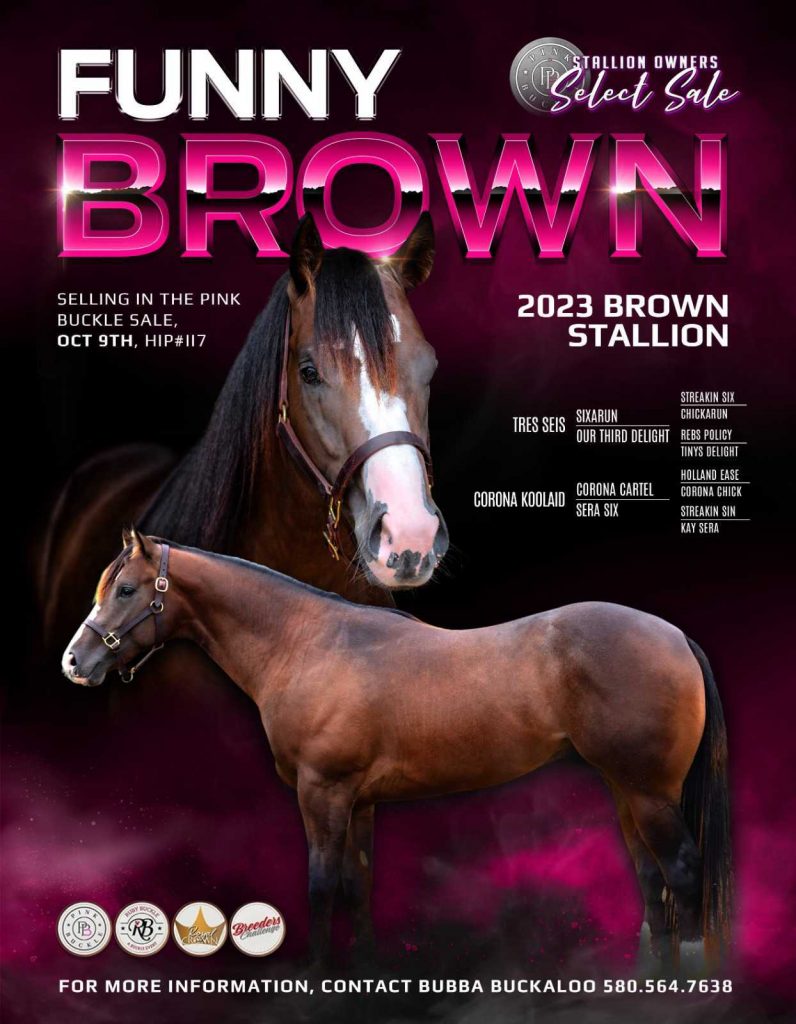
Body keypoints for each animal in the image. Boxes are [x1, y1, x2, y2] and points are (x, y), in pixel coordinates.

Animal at [62, 530, 732, 971]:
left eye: (126, 589)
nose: (75, 662)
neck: (306, 643)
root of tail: (675, 635)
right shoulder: (358, 802)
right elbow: (358, 886)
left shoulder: (323, 793)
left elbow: (322, 885)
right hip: (626, 790)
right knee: (650, 876)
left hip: (650, 794)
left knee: (681, 870)